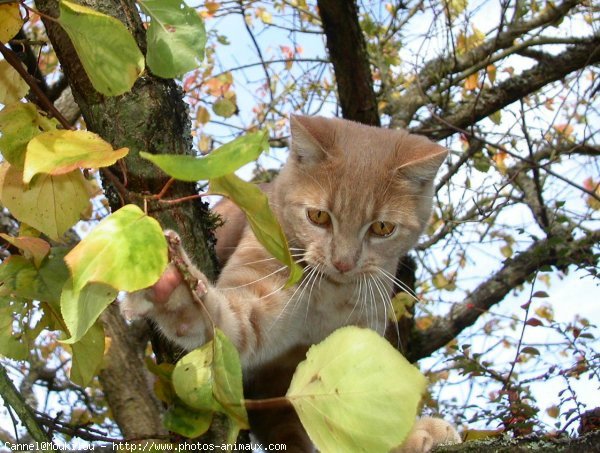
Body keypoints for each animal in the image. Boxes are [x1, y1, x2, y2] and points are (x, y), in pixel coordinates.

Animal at [120, 116, 460, 452]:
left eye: (382, 228)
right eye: (318, 216)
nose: (343, 262)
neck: (331, 296)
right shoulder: (257, 302)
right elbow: (222, 321)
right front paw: (175, 290)